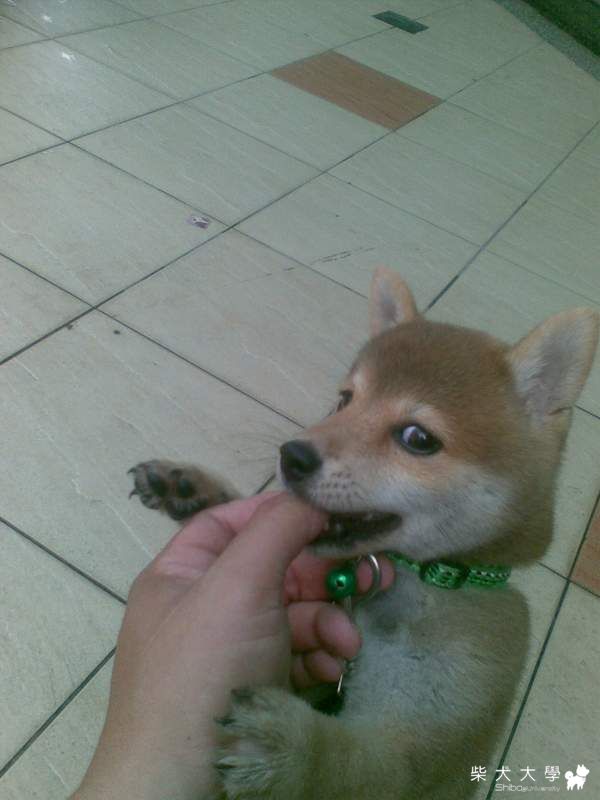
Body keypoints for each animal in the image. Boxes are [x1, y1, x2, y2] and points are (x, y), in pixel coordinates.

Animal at [129, 268, 598, 799]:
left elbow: (352, 766)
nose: (292, 456)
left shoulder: (421, 745)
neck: (419, 583)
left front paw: (291, 749)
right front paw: (192, 488)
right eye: (343, 401)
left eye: (418, 438)